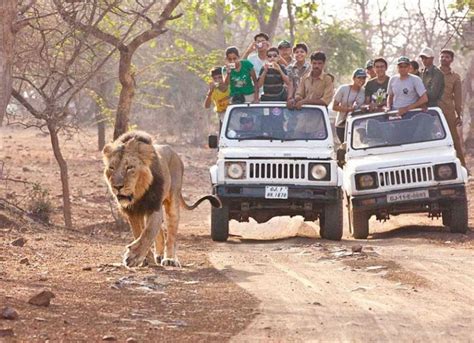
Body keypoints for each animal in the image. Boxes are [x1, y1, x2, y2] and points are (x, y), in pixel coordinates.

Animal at [102, 130, 220, 268]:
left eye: (129, 167)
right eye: (111, 168)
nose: (117, 186)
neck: (139, 193)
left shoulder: (154, 206)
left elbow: (148, 232)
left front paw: (133, 256)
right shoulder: (132, 212)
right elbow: (139, 233)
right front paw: (144, 258)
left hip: (172, 202)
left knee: (171, 234)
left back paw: (170, 259)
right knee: (160, 233)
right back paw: (158, 255)